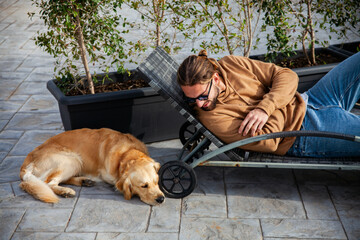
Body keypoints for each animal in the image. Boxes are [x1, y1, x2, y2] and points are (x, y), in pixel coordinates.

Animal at [19, 128, 165, 205]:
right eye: (143, 186)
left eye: (156, 182)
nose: (161, 199)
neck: (127, 153)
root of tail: (26, 163)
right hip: (72, 159)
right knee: (48, 183)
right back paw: (66, 191)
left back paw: (84, 181)